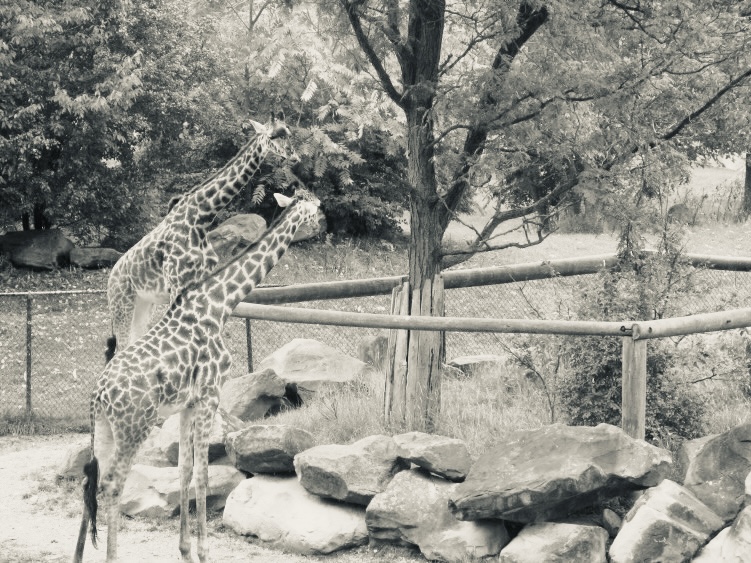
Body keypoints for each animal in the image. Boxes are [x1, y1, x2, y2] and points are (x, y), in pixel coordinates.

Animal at [73, 188, 321, 563]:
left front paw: (185, 550)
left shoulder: (186, 404)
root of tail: (98, 395)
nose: (323, 225)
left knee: (92, 481)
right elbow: (203, 475)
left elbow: (185, 470)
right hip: (133, 427)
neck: (219, 305)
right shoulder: (209, 396)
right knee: (113, 484)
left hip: (103, 428)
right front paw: (204, 552)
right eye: (315, 208)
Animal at [106, 112, 298, 358]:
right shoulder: (177, 284)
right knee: (119, 350)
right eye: (274, 135)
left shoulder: (198, 282)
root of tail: (111, 278)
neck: (201, 216)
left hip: (143, 304)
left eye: (289, 132)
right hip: (122, 305)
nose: (294, 157)